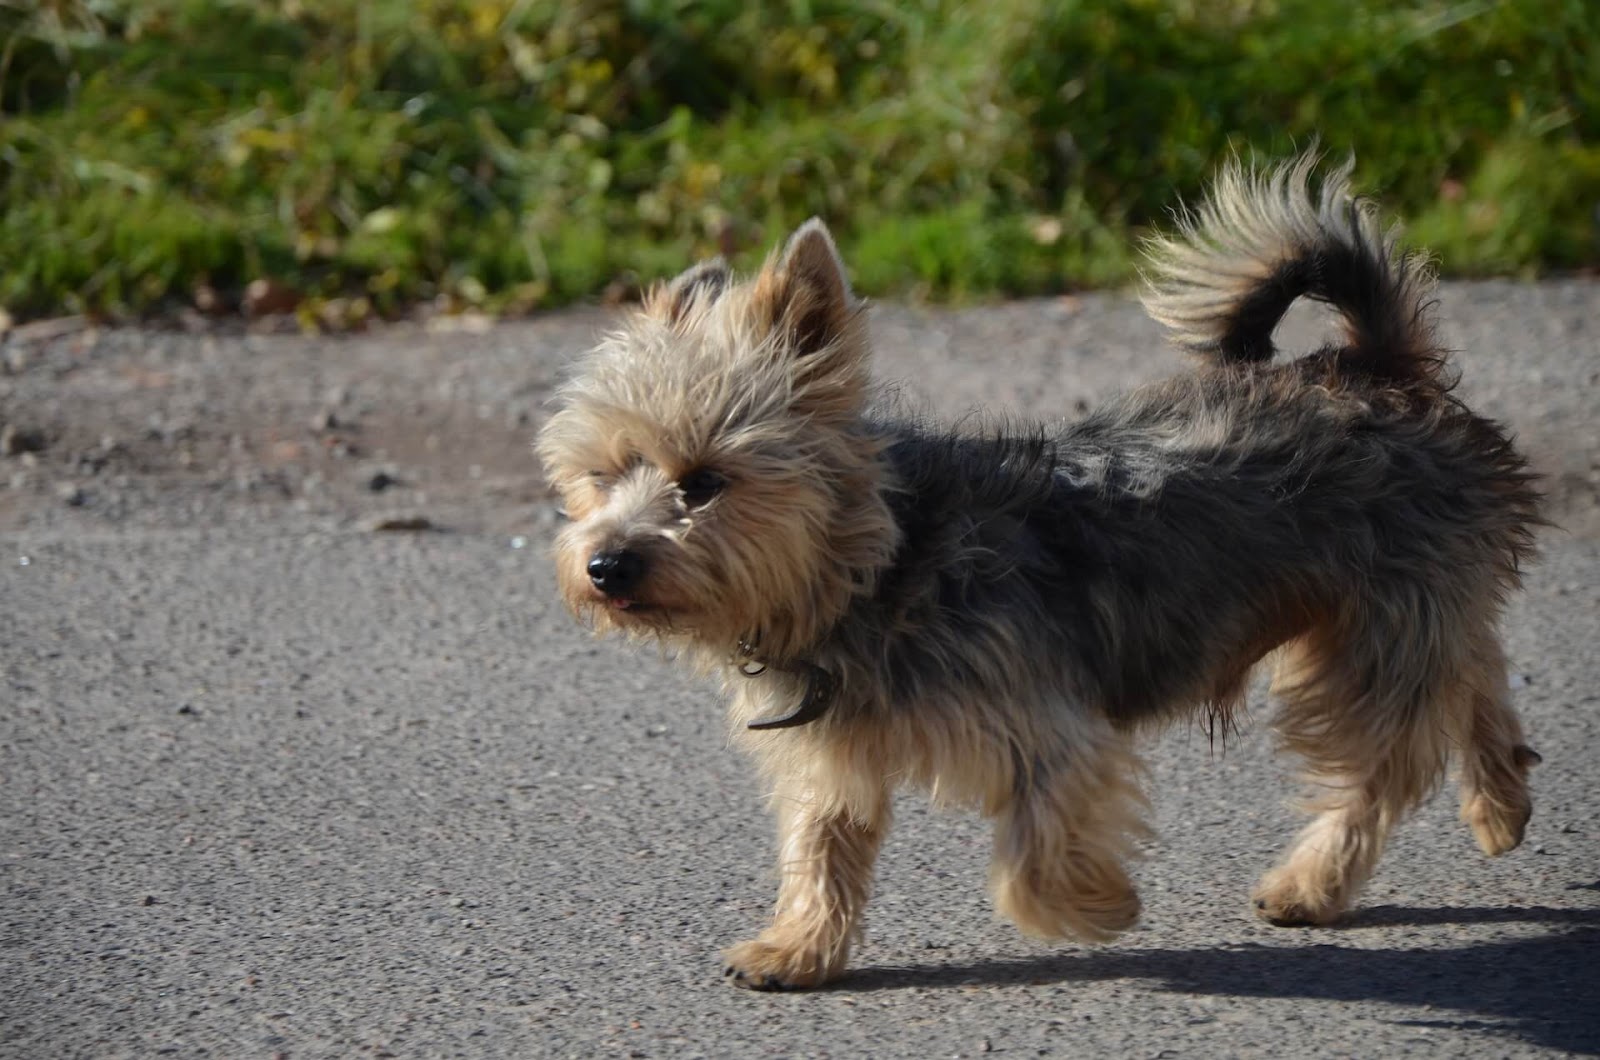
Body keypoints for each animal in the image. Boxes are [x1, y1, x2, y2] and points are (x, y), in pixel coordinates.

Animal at [534, 157, 1536, 999]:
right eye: (601, 474)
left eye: (704, 482)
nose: (605, 565)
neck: (879, 565)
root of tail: (1378, 368)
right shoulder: (833, 755)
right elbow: (820, 849)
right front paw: (800, 946)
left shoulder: (1053, 731)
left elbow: (1027, 865)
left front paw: (1103, 907)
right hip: (1390, 617)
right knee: (1472, 667)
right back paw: (1500, 796)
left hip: (1370, 638)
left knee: (1380, 764)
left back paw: (1313, 880)